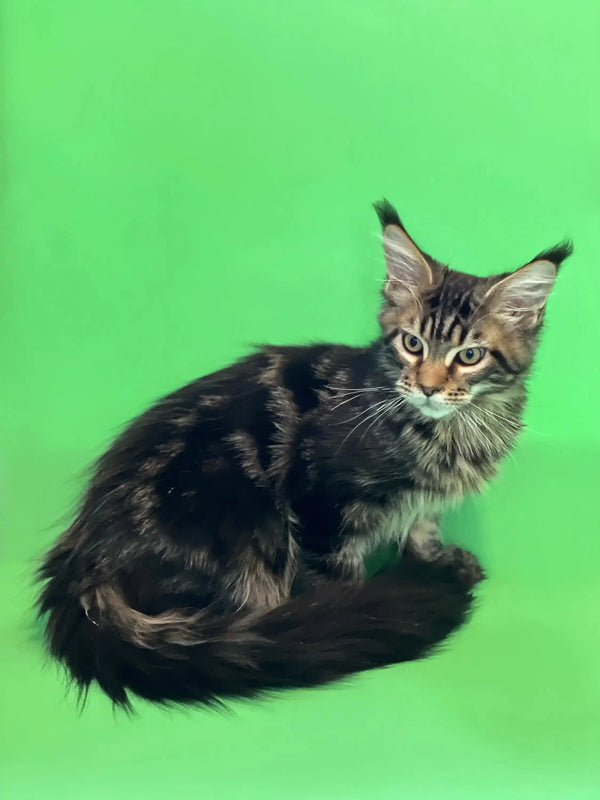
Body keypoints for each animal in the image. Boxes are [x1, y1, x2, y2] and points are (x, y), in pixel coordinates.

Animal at [36, 200, 572, 708]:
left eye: (469, 356)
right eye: (412, 343)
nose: (428, 387)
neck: (451, 433)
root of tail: (82, 561)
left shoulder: (424, 503)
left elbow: (423, 528)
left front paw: (436, 559)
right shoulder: (322, 504)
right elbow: (337, 578)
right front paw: (354, 611)